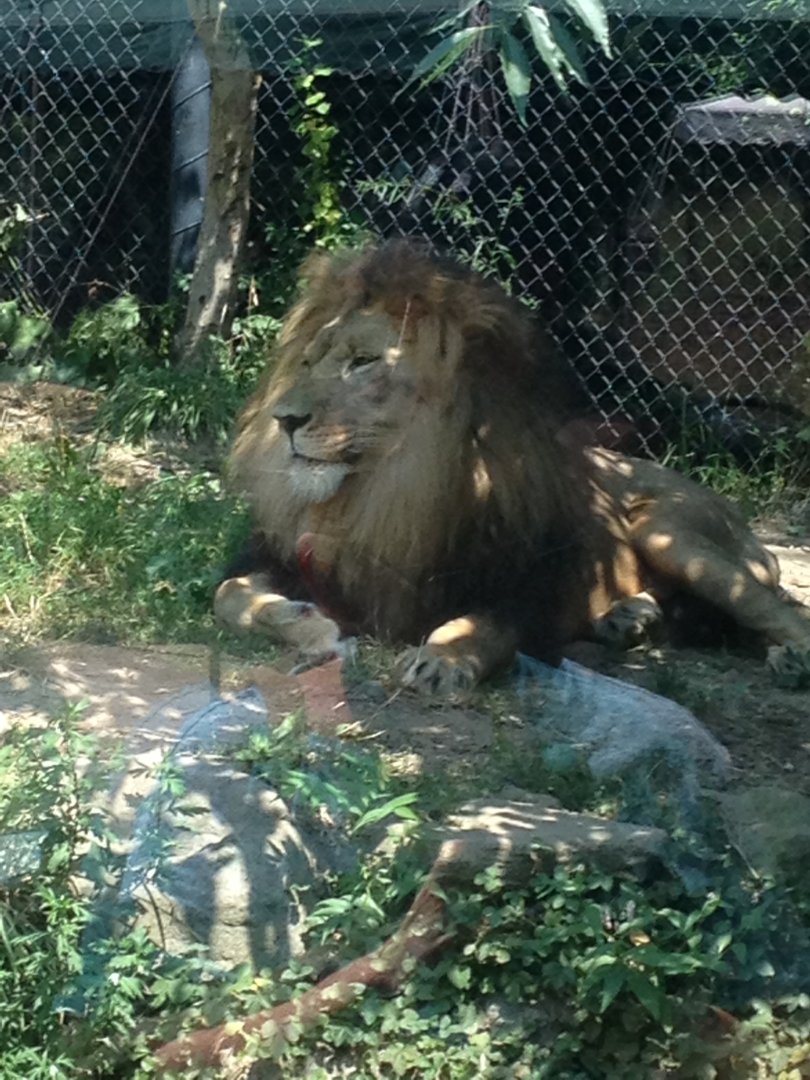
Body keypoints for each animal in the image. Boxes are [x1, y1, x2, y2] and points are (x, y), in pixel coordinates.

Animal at [214, 239, 810, 694]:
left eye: (363, 362)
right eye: (309, 361)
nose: (284, 419)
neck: (383, 492)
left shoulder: (523, 590)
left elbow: (484, 627)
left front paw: (443, 661)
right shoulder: (283, 558)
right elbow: (228, 596)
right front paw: (311, 627)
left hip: (665, 527)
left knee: (776, 606)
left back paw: (787, 656)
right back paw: (630, 618)